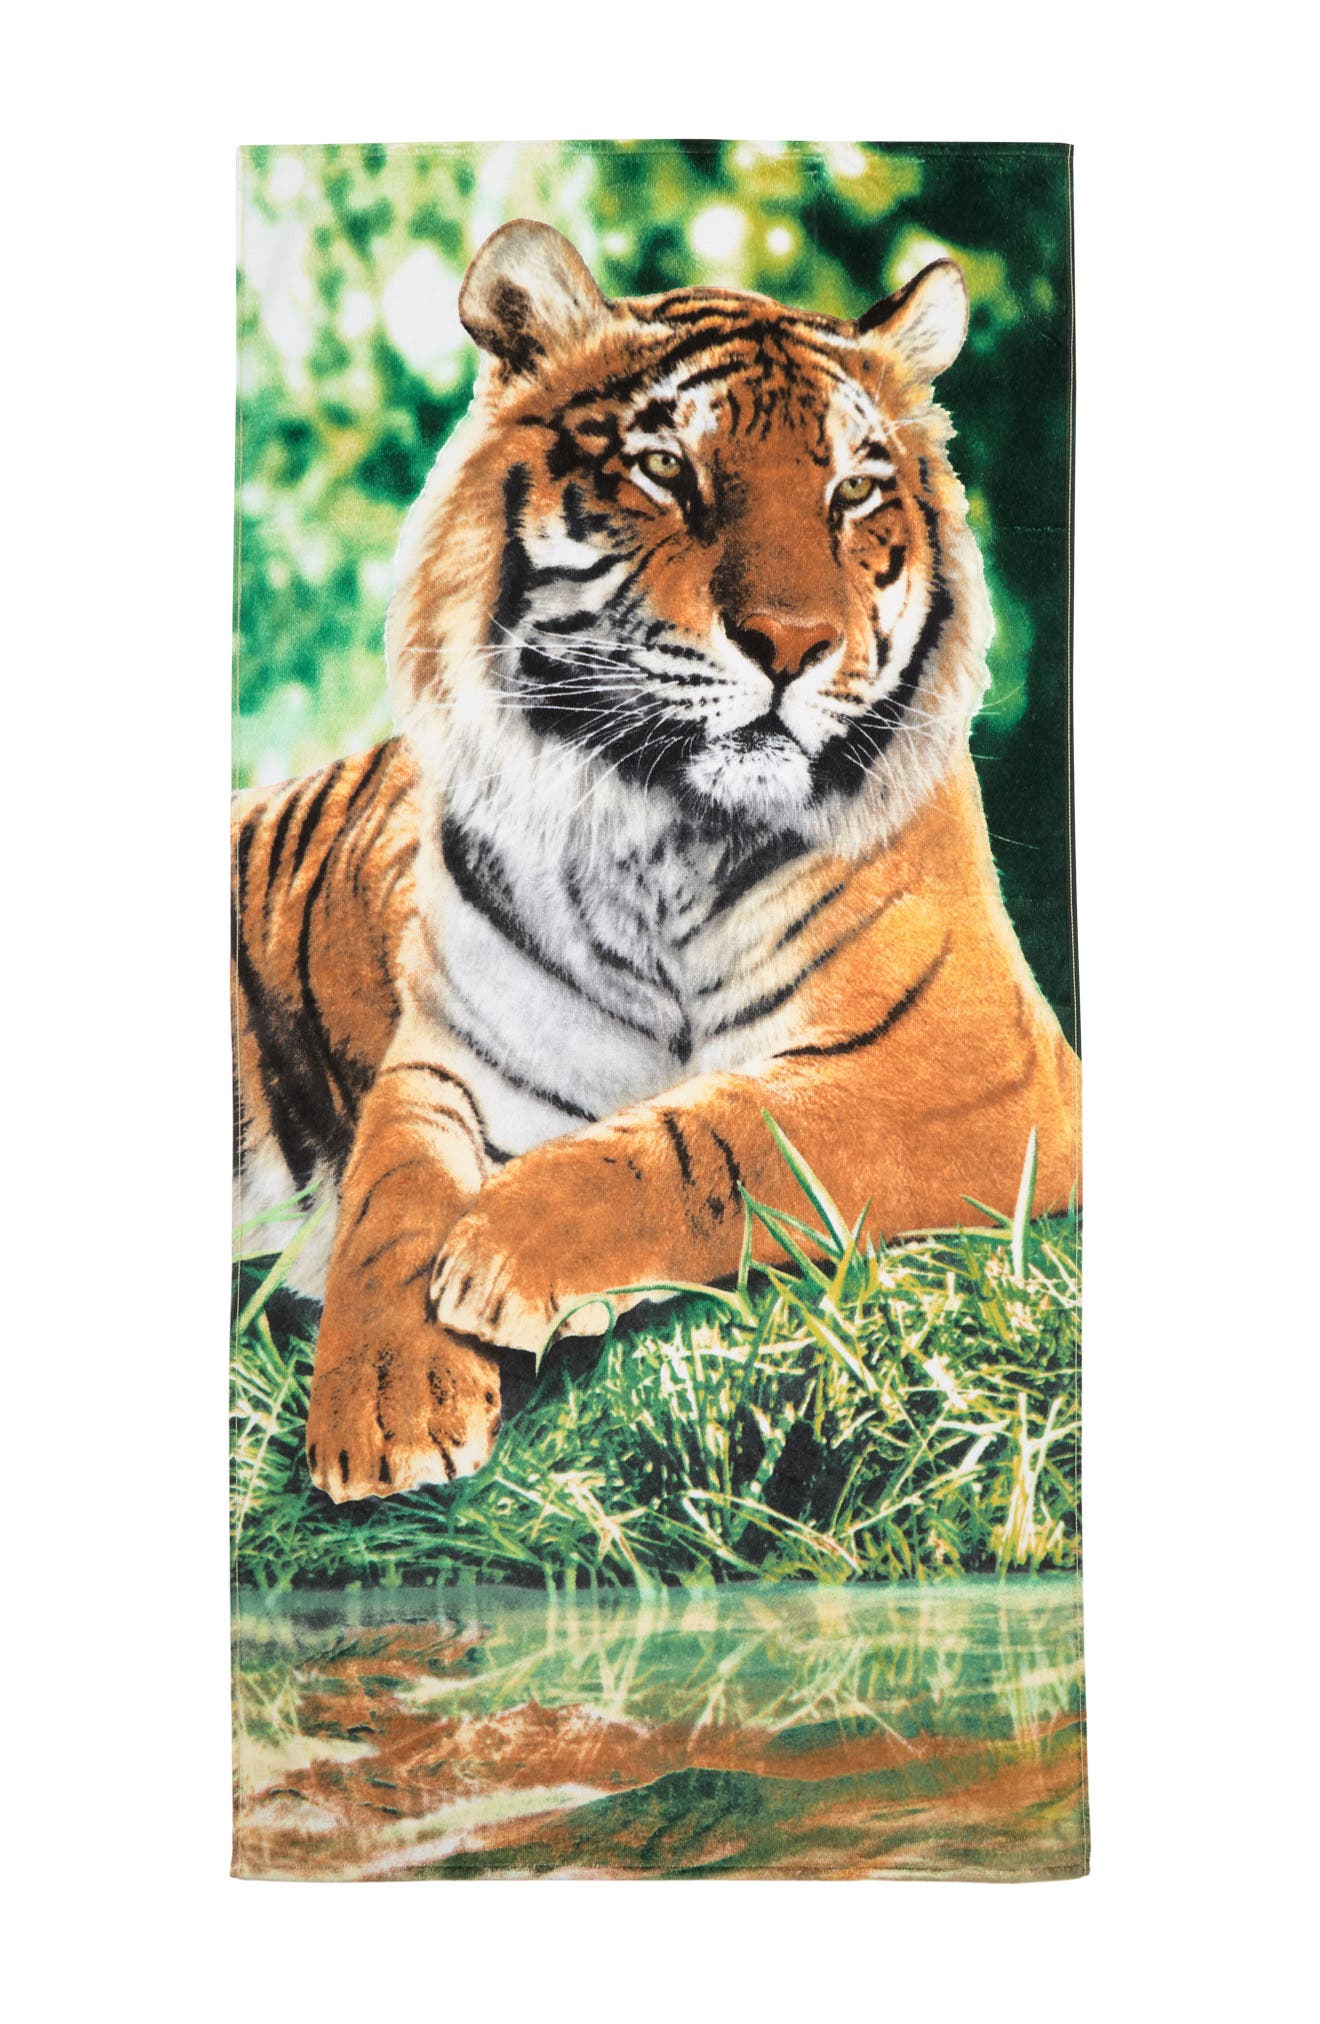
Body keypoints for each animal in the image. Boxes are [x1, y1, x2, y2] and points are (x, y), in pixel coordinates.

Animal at [232, 219, 1080, 1505]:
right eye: (668, 471)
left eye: (853, 490)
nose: (792, 642)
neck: (665, 839)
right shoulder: (452, 1057)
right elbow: (394, 1193)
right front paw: (388, 1405)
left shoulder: (974, 1064)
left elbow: (735, 1131)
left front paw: (508, 1249)